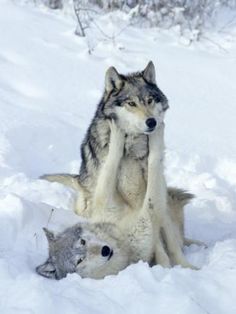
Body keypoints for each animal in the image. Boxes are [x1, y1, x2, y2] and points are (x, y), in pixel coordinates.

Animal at [41, 62, 196, 270]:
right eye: (131, 103)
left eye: (149, 100)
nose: (152, 122)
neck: (135, 149)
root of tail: (78, 181)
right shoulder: (132, 200)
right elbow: (155, 239)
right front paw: (163, 265)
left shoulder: (156, 195)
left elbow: (169, 240)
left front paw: (183, 266)